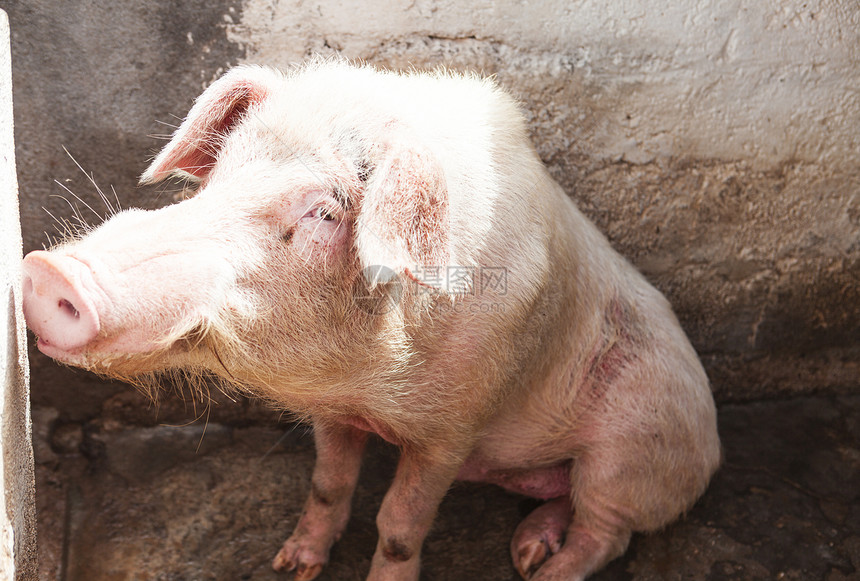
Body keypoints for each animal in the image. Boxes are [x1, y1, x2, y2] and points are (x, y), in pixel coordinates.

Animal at [21, 60, 720, 580]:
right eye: (219, 175)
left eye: (326, 213)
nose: (48, 273)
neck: (366, 388)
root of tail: (712, 446)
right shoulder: (334, 412)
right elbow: (329, 483)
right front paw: (292, 565)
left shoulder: (454, 428)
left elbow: (400, 524)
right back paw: (527, 548)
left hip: (635, 451)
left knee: (607, 532)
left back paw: (541, 572)